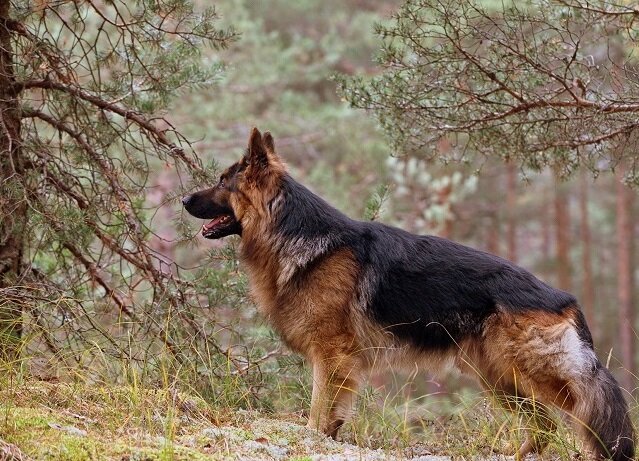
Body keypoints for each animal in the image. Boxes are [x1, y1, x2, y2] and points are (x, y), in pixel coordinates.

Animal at [182, 127, 636, 458]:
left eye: (222, 182)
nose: (184, 199)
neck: (297, 235)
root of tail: (564, 298)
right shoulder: (339, 363)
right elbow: (331, 418)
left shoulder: (331, 356)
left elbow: (316, 412)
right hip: (499, 377)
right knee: (542, 426)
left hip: (536, 375)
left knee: (584, 410)